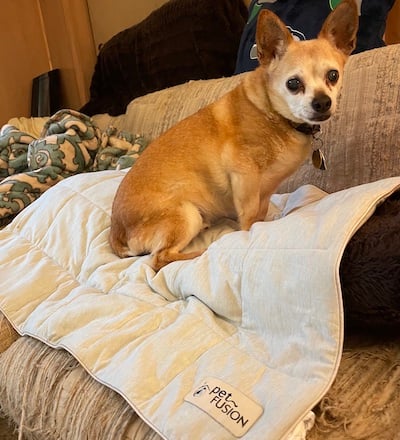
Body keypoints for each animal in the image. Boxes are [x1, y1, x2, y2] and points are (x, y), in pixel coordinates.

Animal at [110, 0, 360, 272]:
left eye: (333, 75)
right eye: (293, 84)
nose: (323, 102)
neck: (274, 115)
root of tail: (116, 234)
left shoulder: (266, 188)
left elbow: (261, 209)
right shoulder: (244, 176)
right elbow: (249, 217)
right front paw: (250, 233)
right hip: (185, 214)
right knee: (160, 259)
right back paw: (200, 252)